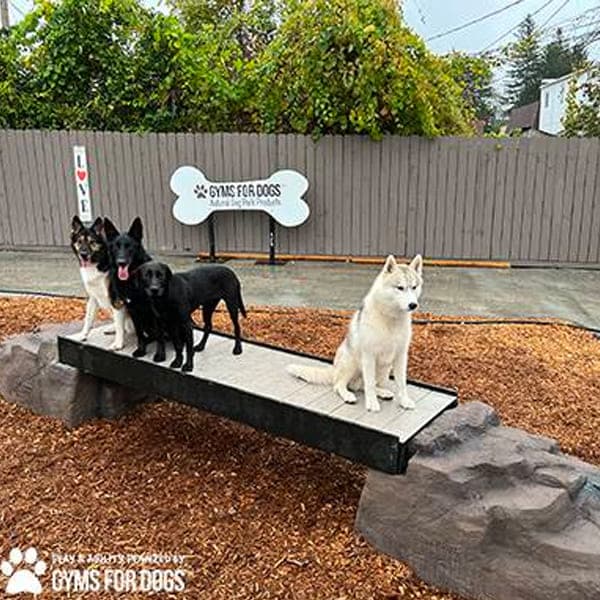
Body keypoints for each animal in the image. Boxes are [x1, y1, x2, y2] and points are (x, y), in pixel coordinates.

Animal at [104, 219, 162, 364]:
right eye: (116, 247)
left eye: (129, 247)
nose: (121, 262)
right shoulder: (132, 310)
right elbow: (139, 334)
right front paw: (140, 349)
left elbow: (160, 337)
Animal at [288, 253, 422, 412]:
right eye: (400, 288)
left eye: (414, 287)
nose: (413, 305)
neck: (391, 318)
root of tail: (334, 369)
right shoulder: (369, 356)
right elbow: (369, 384)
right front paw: (372, 403)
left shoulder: (401, 356)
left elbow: (401, 383)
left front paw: (404, 401)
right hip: (351, 363)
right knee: (340, 385)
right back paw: (348, 395)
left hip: (385, 369)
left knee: (362, 386)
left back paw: (382, 392)